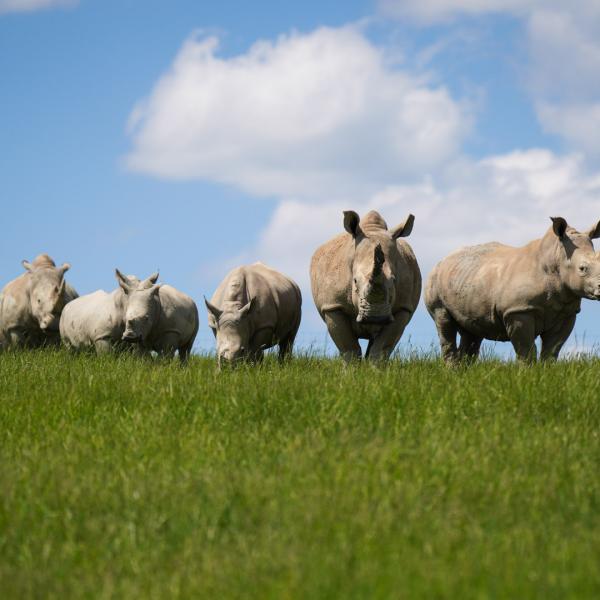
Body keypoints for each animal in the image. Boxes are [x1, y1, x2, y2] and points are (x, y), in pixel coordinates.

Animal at [60, 270, 198, 364]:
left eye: (147, 318)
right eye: (125, 319)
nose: (130, 336)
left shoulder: (169, 330)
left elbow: (165, 353)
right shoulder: (102, 335)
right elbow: (107, 355)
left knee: (186, 348)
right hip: (64, 318)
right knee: (71, 348)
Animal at [310, 211, 422, 360]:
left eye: (394, 280)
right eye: (355, 281)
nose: (376, 317)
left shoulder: (403, 308)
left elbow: (381, 349)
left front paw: (375, 367)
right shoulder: (332, 306)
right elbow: (349, 348)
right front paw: (352, 367)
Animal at [424, 218, 600, 364]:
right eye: (582, 269)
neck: (556, 258)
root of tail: (442, 260)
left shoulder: (566, 312)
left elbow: (552, 350)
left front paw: (546, 373)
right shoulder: (518, 310)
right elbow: (526, 350)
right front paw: (528, 375)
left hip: (466, 280)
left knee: (471, 331)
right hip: (434, 281)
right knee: (444, 323)